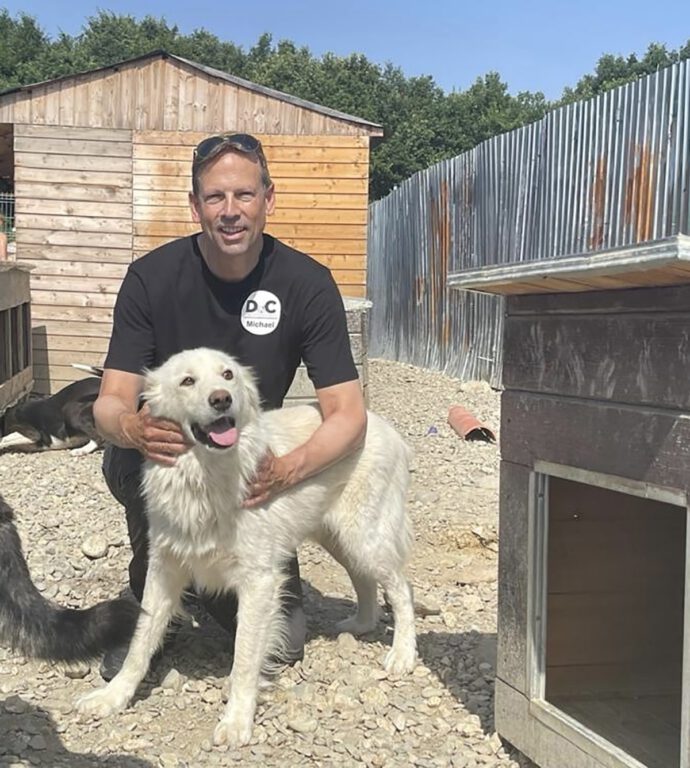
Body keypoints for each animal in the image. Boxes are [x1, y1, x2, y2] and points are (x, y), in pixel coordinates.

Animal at [78, 346, 416, 744]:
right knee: (363, 579)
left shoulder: (259, 581)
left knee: (401, 589)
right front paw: (113, 695)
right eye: (187, 380)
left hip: (364, 535)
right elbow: (140, 642)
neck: (205, 477)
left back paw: (403, 655)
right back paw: (361, 623)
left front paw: (237, 720)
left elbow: (244, 657)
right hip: (337, 537)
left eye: (228, 375)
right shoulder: (164, 570)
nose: (221, 399)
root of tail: (381, 425)